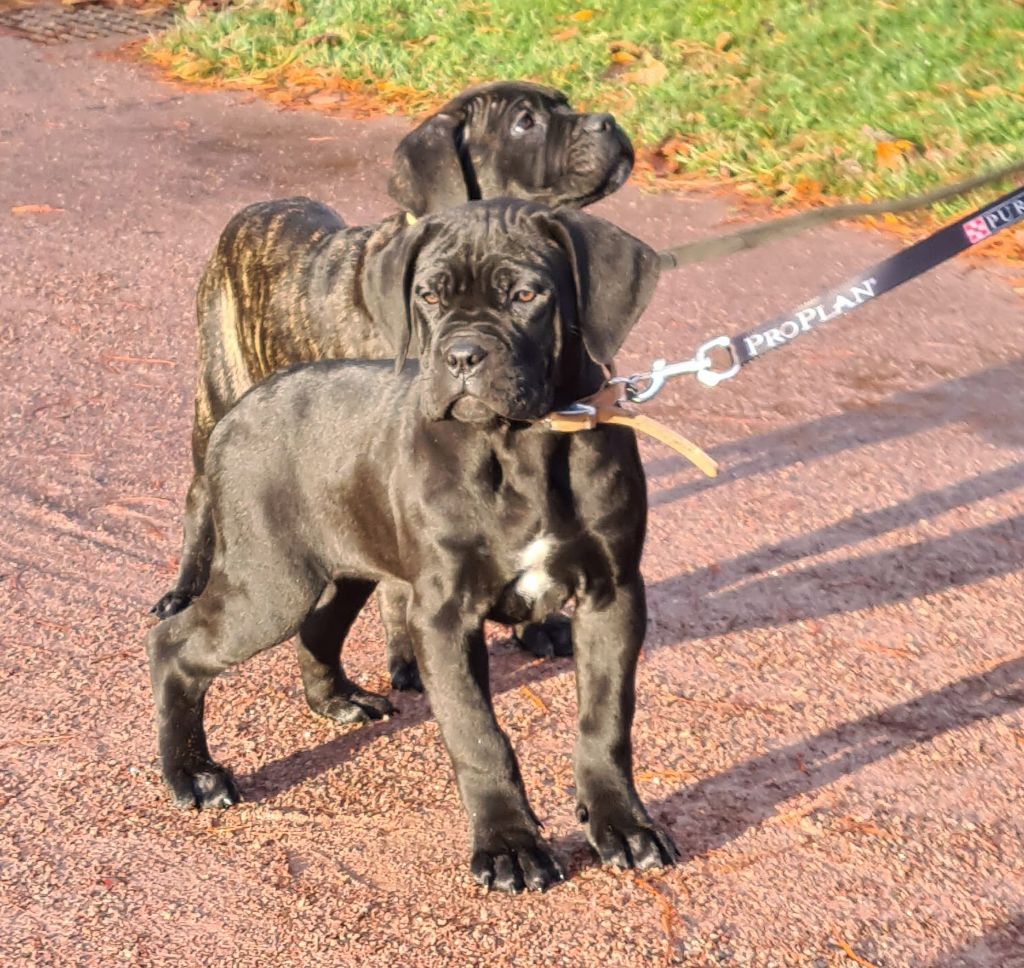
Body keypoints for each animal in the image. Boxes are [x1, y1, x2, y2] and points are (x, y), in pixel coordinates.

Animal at [142, 196, 671, 893]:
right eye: (428, 295)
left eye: (527, 295)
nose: (463, 355)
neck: (520, 445)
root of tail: (241, 409)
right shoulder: (445, 614)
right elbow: (479, 734)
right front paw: (509, 846)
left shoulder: (612, 595)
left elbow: (606, 720)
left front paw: (623, 824)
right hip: (270, 582)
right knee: (175, 645)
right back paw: (191, 773)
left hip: (338, 567)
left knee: (317, 629)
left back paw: (337, 701)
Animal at [152, 81, 634, 696]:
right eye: (524, 123)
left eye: (565, 100)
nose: (608, 122)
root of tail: (255, 209)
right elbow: (401, 584)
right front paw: (407, 655)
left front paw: (537, 626)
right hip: (217, 391)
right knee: (197, 496)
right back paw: (183, 587)